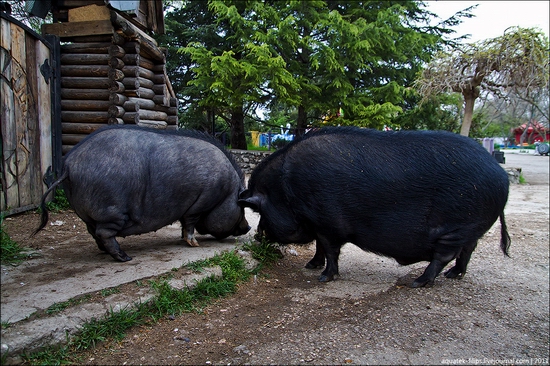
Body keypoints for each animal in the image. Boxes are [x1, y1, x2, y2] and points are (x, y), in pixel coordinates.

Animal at [34, 125, 250, 260]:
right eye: (241, 207)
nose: (248, 227)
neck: (226, 192)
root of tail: (68, 165)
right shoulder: (201, 202)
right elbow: (189, 223)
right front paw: (194, 244)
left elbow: (183, 224)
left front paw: (182, 240)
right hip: (111, 209)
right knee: (104, 233)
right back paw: (125, 258)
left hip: (88, 213)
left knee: (93, 232)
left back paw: (106, 253)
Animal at [242, 127, 512, 288]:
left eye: (261, 211)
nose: (258, 235)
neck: (286, 190)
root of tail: (502, 177)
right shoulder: (319, 224)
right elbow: (320, 247)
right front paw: (311, 266)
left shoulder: (327, 223)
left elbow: (330, 249)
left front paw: (323, 277)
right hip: (469, 228)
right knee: (467, 251)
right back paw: (453, 275)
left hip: (457, 227)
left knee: (444, 256)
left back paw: (418, 282)